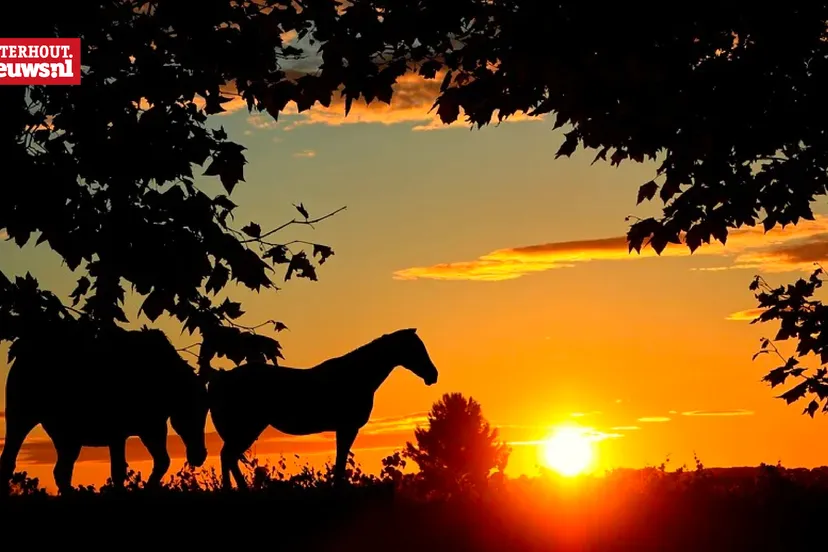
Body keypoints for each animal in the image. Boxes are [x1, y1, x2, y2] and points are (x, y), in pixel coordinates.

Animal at [0, 325, 209, 495]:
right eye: (193, 410)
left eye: (206, 410)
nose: (200, 455)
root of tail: (20, 354)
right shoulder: (119, 431)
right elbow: (118, 471)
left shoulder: (150, 427)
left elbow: (161, 462)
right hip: (21, 416)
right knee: (12, 460)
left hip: (67, 437)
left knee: (60, 471)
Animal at [207, 327, 439, 490]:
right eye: (416, 348)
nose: (433, 375)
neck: (357, 376)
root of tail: (221, 378)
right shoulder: (347, 428)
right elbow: (340, 460)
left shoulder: (344, 429)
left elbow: (340, 460)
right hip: (247, 429)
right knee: (228, 456)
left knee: (229, 457)